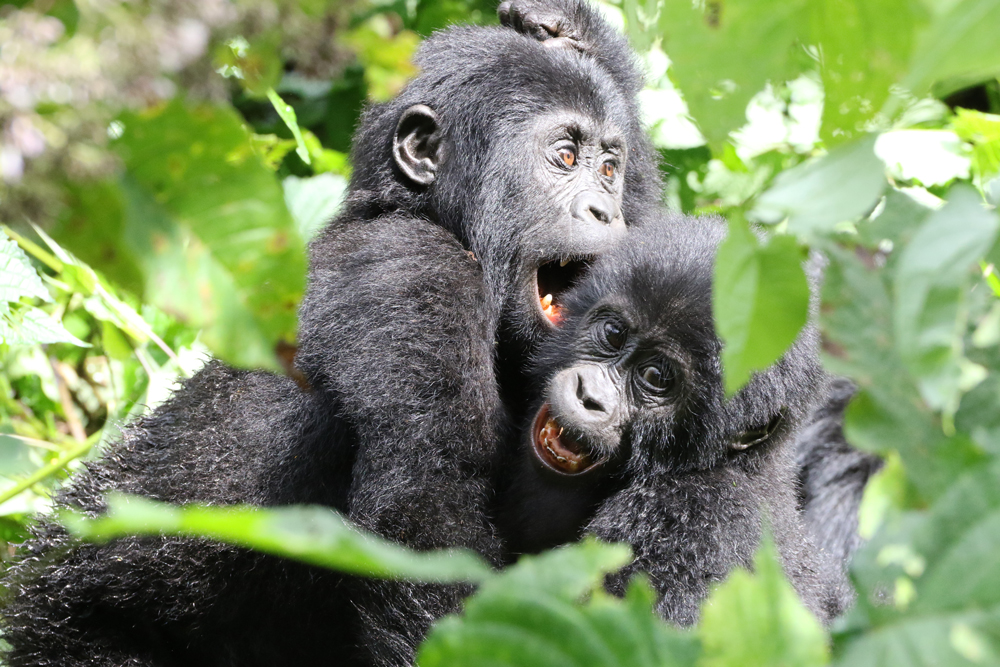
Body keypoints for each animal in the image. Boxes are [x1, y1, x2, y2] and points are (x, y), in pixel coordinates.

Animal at [1, 10, 664, 667]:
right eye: (565, 156)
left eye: (610, 169)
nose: (606, 211)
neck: (428, 217)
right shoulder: (413, 274)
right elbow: (430, 525)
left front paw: (576, 33)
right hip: (63, 630)